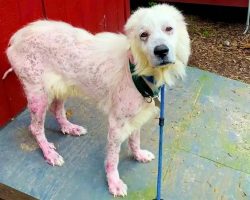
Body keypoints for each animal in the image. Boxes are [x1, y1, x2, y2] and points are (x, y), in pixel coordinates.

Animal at [5, 3, 189, 197]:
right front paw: (113, 182)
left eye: (169, 29)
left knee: (57, 110)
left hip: (61, 87)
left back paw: (69, 128)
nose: (161, 51)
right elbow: (113, 158)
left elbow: (135, 139)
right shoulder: (116, 124)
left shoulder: (136, 117)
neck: (137, 69)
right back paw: (49, 153)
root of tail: (17, 37)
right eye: (143, 35)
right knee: (35, 128)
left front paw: (138, 155)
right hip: (38, 96)